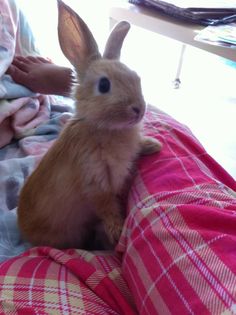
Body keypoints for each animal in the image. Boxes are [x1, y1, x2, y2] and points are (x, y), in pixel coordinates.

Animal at [16, 0, 161, 252]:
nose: (139, 109)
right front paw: (117, 232)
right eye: (103, 85)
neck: (103, 127)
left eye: (136, 77)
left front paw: (153, 145)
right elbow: (107, 207)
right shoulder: (96, 182)